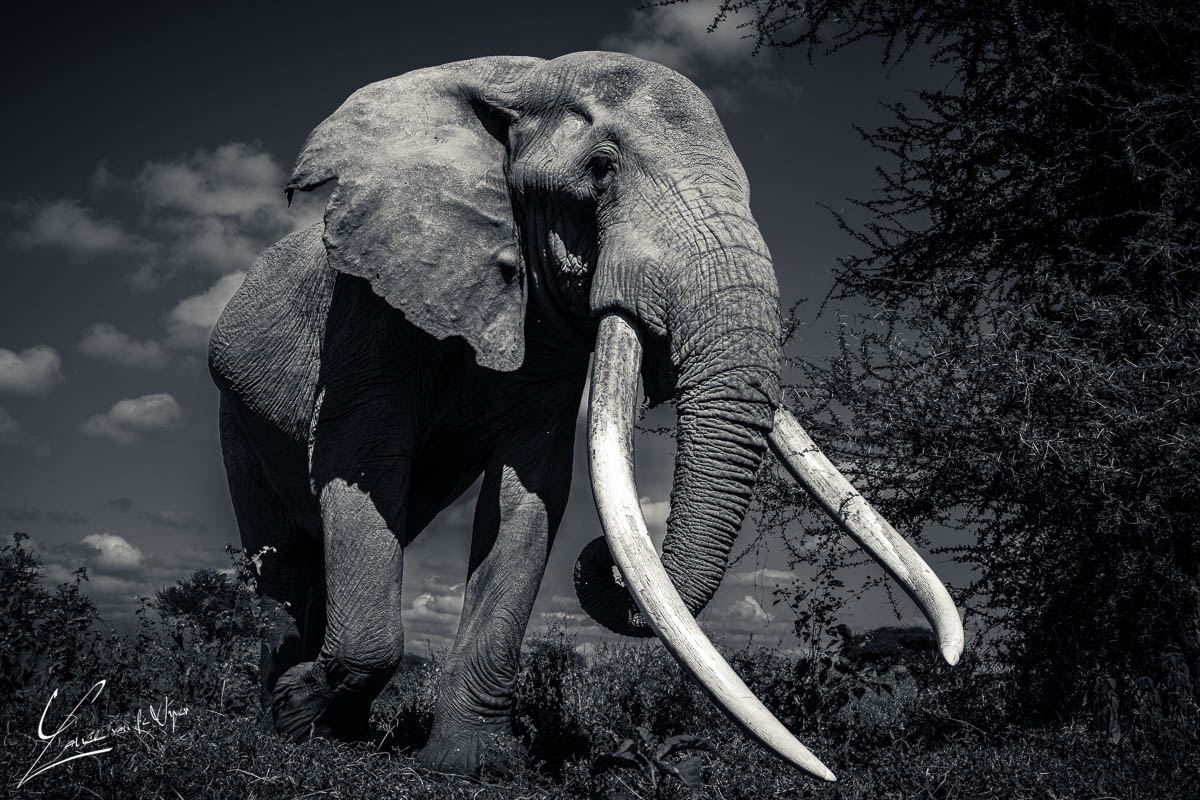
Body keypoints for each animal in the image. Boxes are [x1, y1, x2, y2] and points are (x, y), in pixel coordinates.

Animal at [208, 51, 963, 781]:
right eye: (600, 170)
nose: (601, 558)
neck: (519, 81)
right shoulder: (372, 304)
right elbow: (360, 459)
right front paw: (295, 712)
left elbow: (527, 495)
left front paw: (475, 766)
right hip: (234, 417)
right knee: (285, 555)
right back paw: (287, 711)